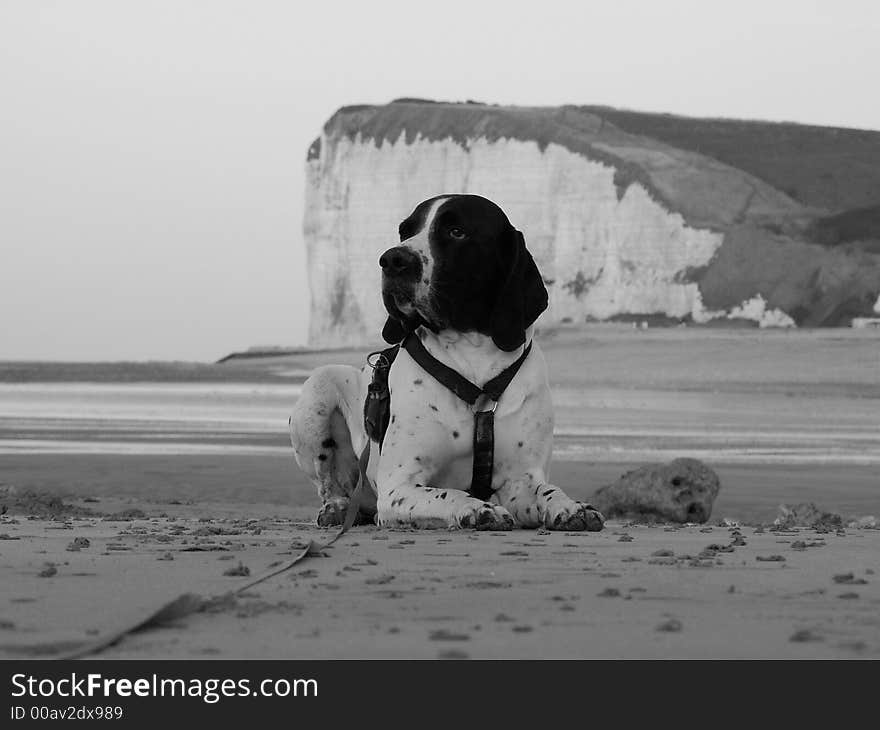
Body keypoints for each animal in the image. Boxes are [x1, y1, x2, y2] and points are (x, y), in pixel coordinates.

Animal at [288, 193, 604, 532]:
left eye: (456, 232)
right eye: (405, 231)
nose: (392, 259)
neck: (473, 355)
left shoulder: (522, 480)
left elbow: (549, 491)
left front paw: (572, 507)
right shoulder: (399, 487)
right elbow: (449, 493)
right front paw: (478, 508)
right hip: (319, 389)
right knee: (329, 483)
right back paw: (336, 507)